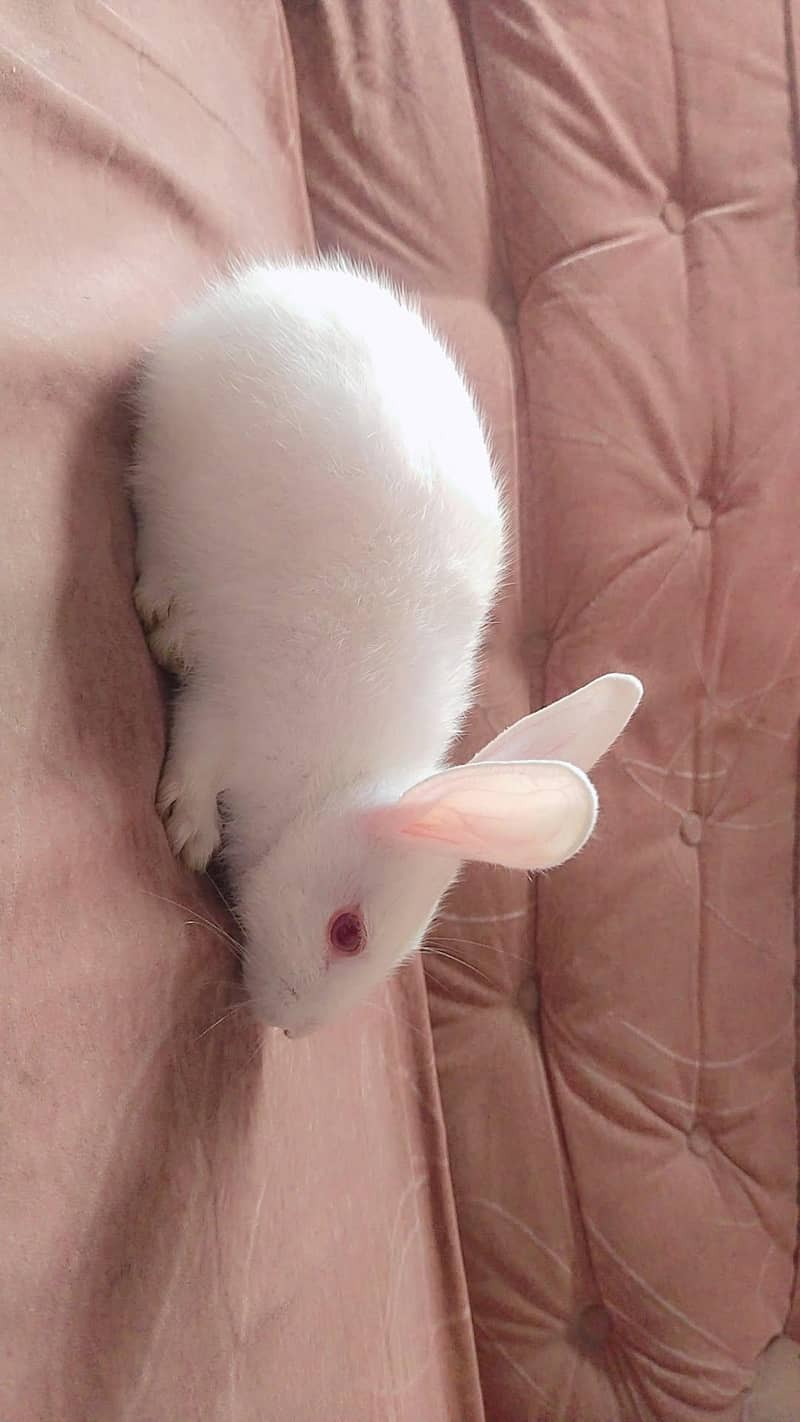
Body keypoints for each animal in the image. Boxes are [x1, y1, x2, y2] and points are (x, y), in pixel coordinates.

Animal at [129, 257, 642, 1037]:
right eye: (347, 932)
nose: (293, 1029)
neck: (327, 794)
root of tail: (275, 285)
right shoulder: (233, 709)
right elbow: (196, 748)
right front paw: (190, 832)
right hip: (172, 472)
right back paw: (167, 614)